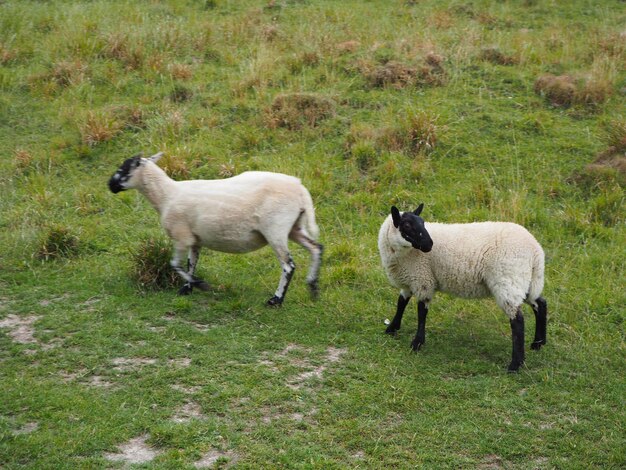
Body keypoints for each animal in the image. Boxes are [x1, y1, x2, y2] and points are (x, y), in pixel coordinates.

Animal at [108, 151, 322, 304]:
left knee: (288, 265)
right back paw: (313, 287)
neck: (166, 195)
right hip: (294, 227)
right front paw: (187, 288)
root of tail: (300, 189)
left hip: (275, 229)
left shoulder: (181, 235)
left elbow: (175, 264)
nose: (110, 185)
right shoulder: (194, 238)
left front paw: (200, 284)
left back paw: (276, 300)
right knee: (316, 248)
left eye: (124, 168)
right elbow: (191, 262)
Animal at [376, 204, 544, 372]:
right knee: (540, 303)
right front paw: (392, 328)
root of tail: (535, 250)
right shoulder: (410, 280)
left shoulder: (423, 279)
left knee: (518, 321)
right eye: (406, 225)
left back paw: (515, 364)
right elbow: (401, 303)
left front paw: (417, 343)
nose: (429, 244)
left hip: (507, 280)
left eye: (423, 222)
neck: (402, 254)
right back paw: (538, 343)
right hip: (523, 281)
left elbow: (421, 312)